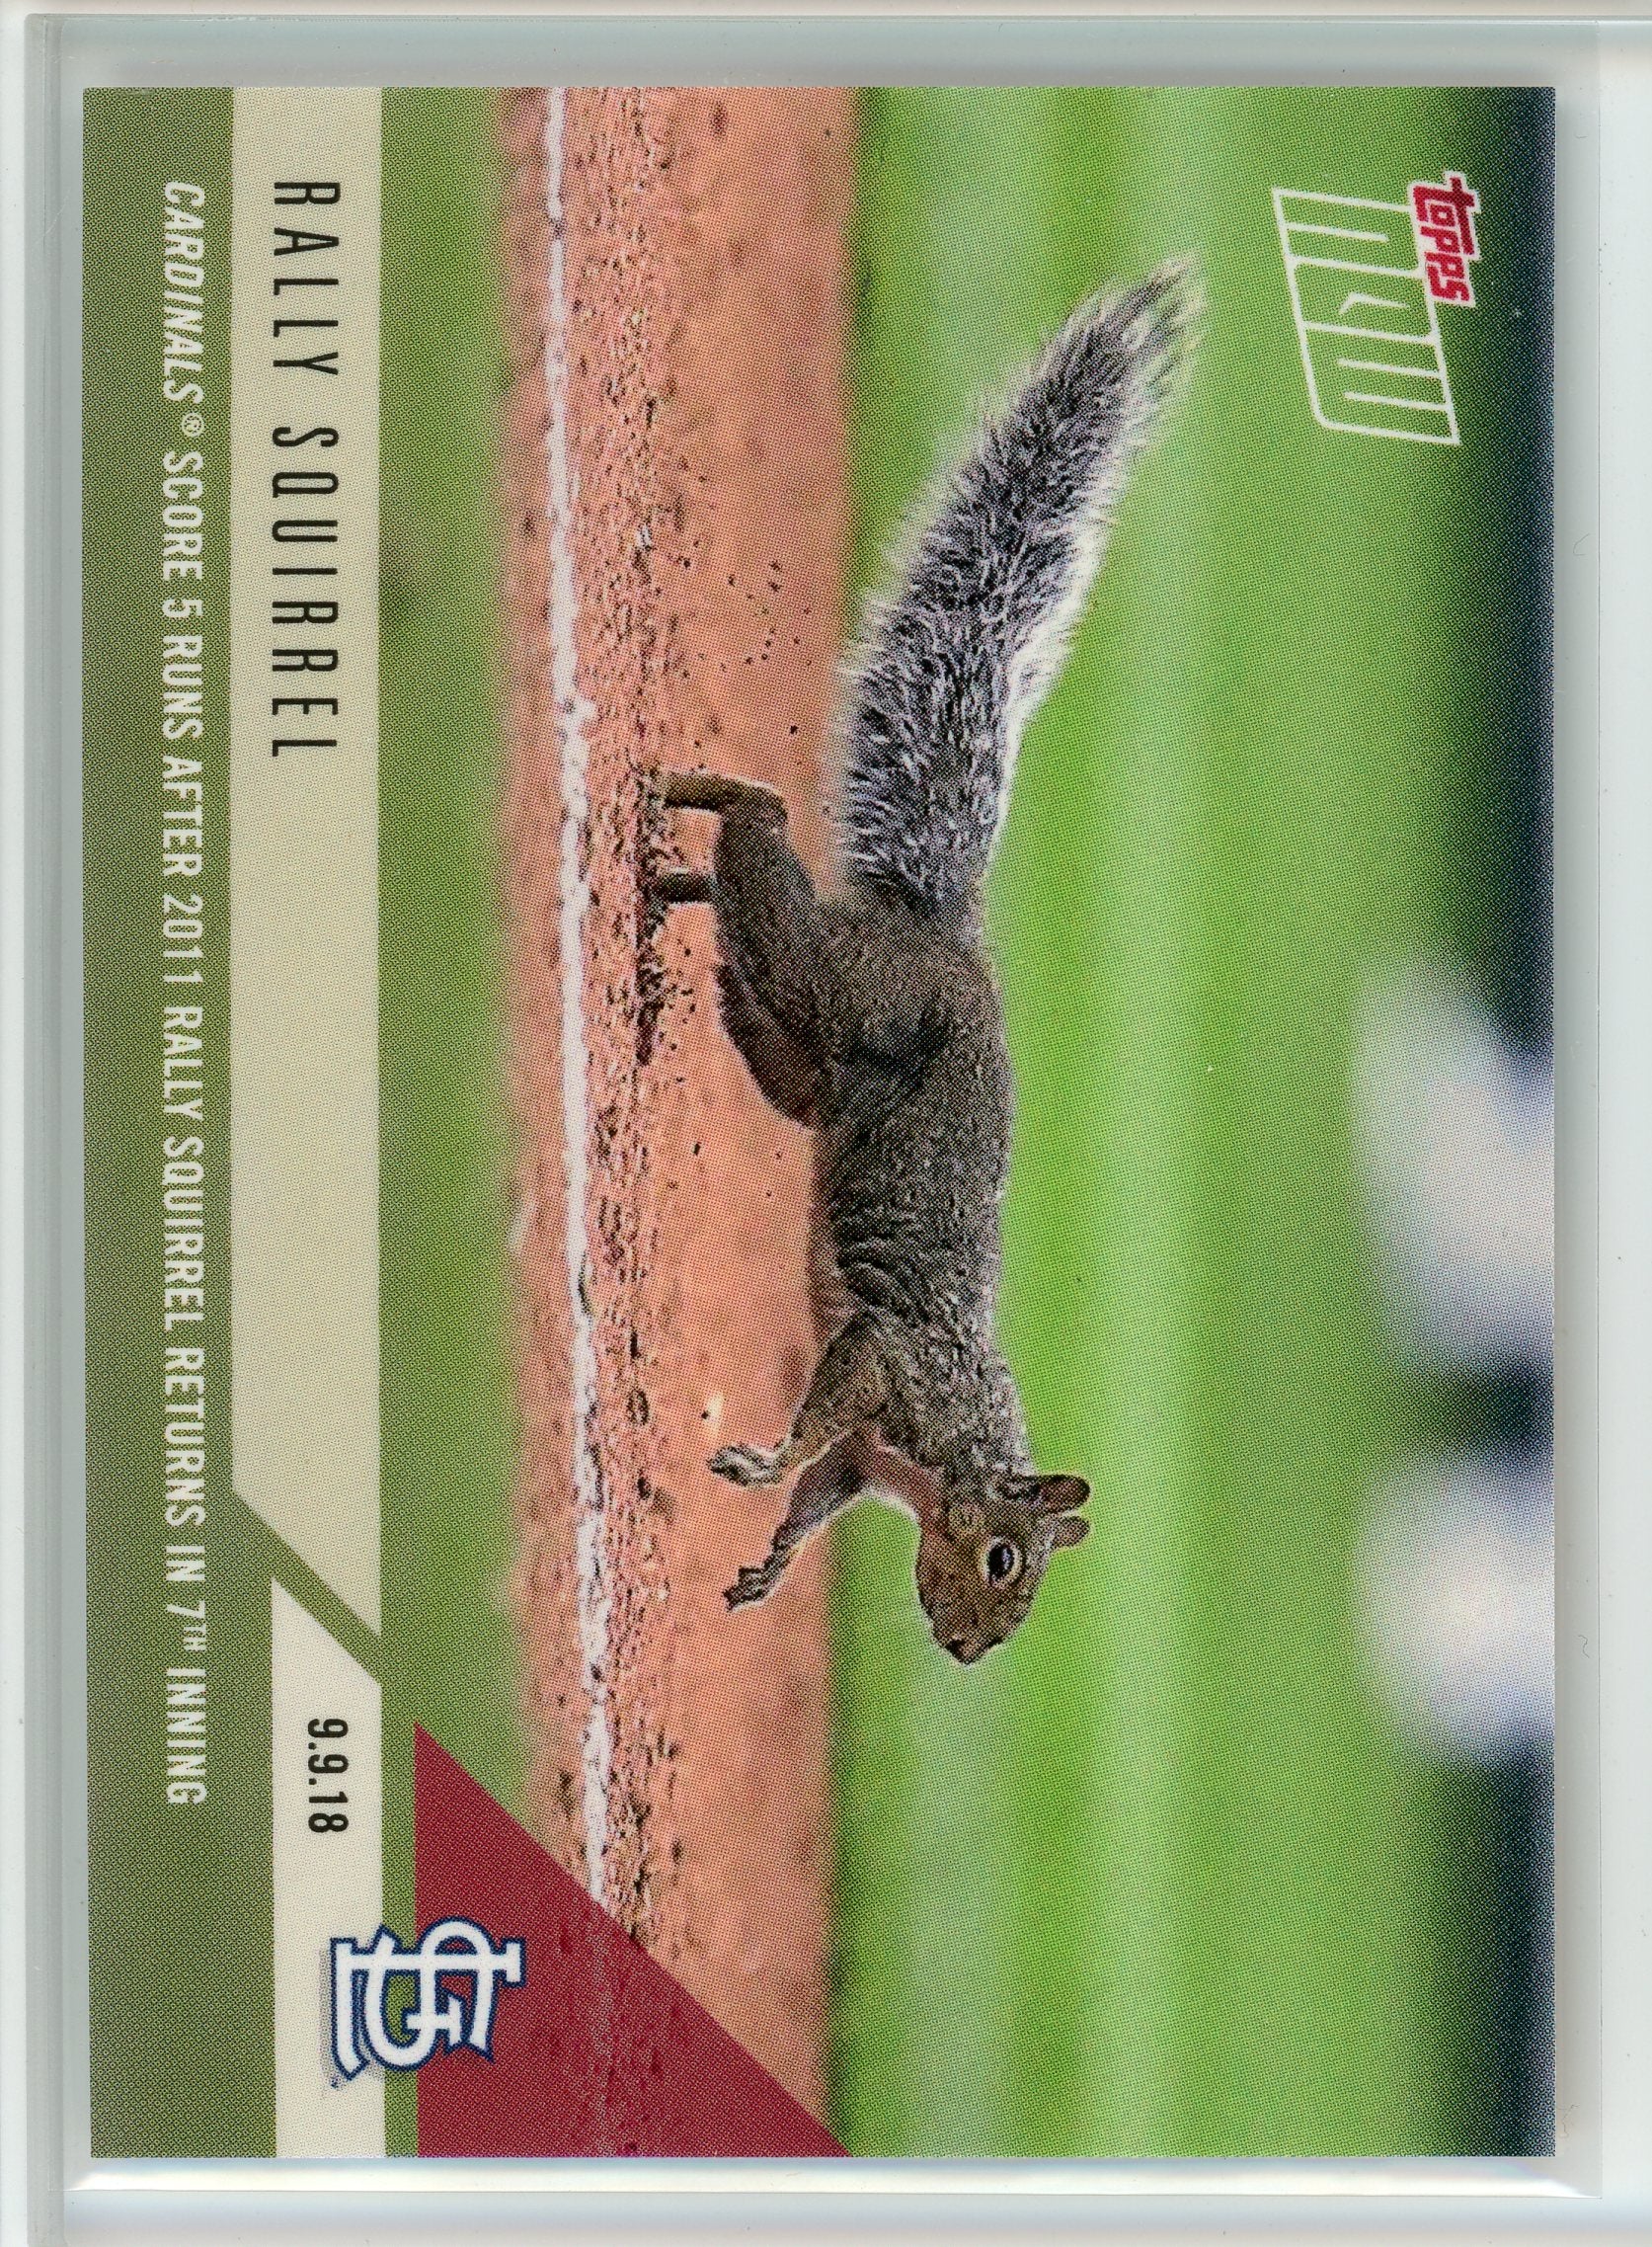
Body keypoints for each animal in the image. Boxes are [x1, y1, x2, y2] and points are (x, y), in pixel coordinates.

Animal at [653, 262, 1197, 1662]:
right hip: (841, 985)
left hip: (799, 1056)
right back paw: (694, 794)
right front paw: (760, 1458)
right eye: (1004, 1556)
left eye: (1023, 1585)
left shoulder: (872, 1462)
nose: (964, 1651)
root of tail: (939, 939)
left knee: (750, 934)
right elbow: (821, 1421)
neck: (944, 1461)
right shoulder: (890, 1360)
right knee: (764, 831)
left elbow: (819, 1496)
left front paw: (767, 1566)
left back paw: (676, 882)